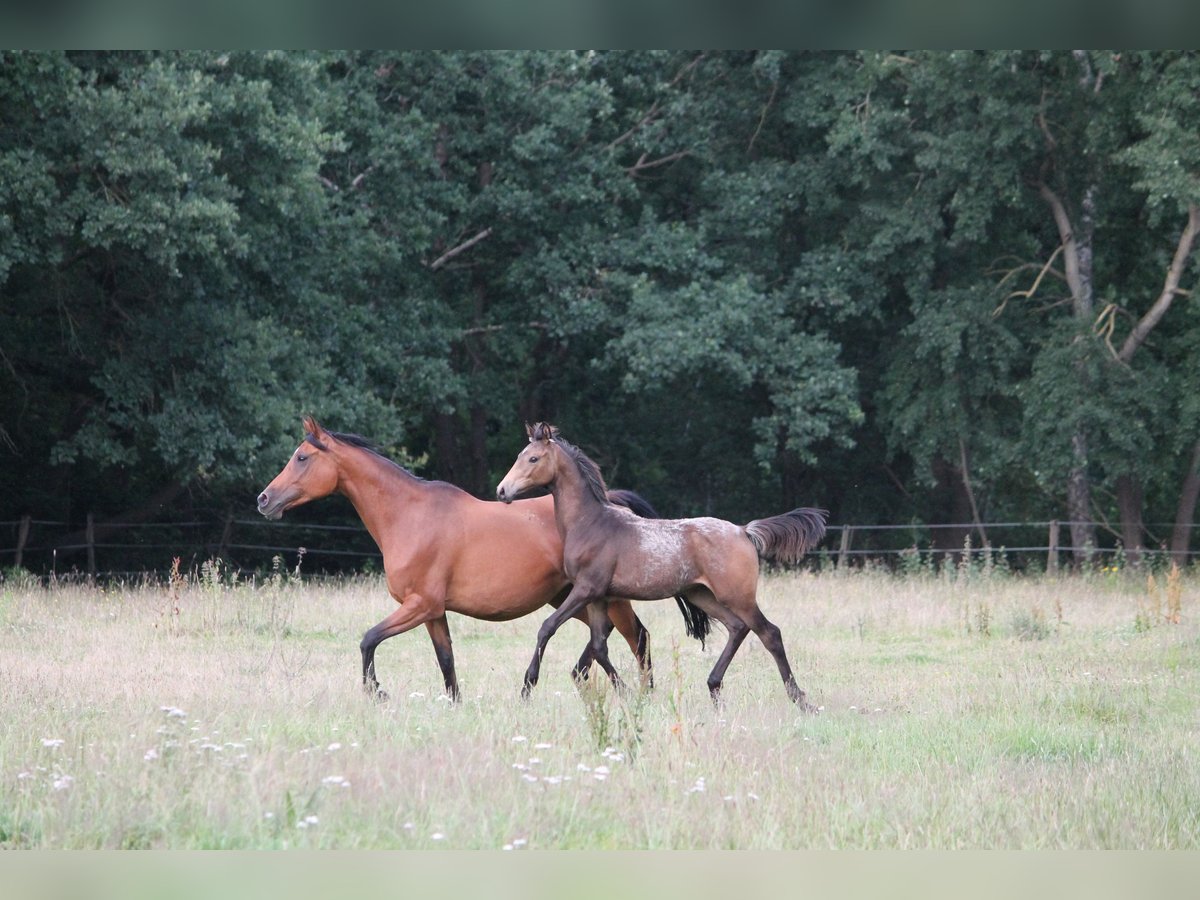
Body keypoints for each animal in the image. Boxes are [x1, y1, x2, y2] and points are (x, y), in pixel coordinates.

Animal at [253, 417, 700, 705]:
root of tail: (614, 504)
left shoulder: (419, 605)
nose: (263, 499)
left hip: (606, 597)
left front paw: (376, 692)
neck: (409, 515)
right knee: (604, 636)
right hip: (569, 598)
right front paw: (455, 703)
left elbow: (368, 639)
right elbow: (446, 660)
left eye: (302, 458)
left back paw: (638, 692)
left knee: (636, 637)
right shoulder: (434, 612)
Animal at [494, 422, 825, 710]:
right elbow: (599, 646)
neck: (591, 524)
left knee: (770, 633)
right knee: (738, 628)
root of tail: (744, 531)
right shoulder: (600, 597)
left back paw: (801, 700)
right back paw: (714, 689)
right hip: (701, 594)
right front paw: (631, 694)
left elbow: (547, 628)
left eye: (533, 458)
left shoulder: (585, 590)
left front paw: (527, 688)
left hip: (738, 596)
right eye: (520, 456)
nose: (502, 491)